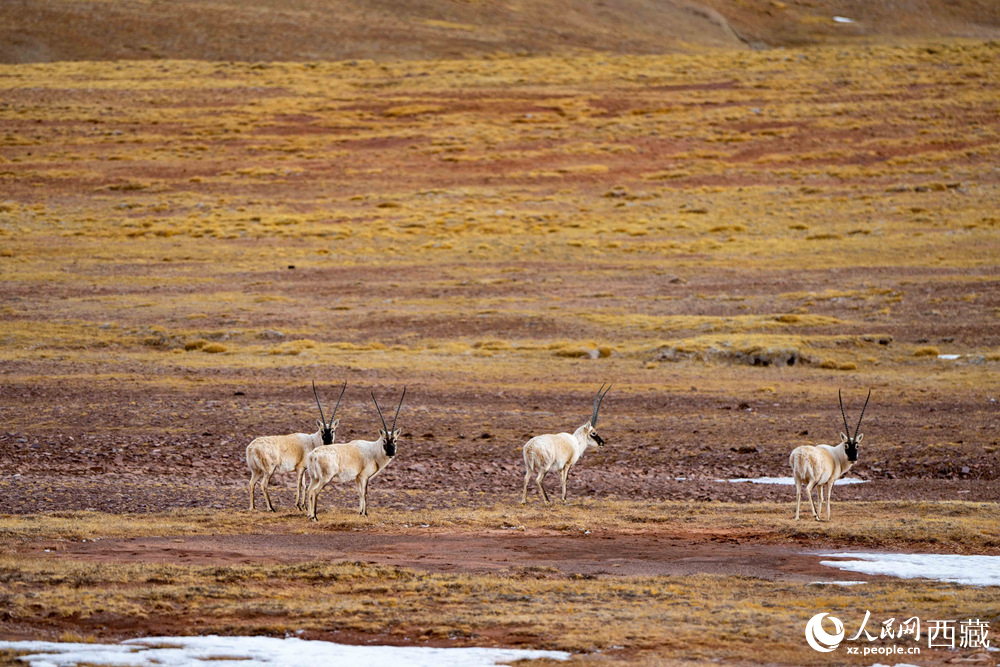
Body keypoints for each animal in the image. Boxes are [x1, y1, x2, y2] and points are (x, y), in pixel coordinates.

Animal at [246, 381, 346, 512]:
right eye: (322, 431)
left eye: (333, 430)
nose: (328, 443)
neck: (311, 441)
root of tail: (251, 448)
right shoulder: (299, 469)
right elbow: (299, 485)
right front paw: (298, 505)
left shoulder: (303, 469)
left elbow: (304, 485)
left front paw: (304, 506)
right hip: (269, 469)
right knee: (263, 485)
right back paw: (270, 508)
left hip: (256, 470)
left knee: (251, 483)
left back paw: (252, 507)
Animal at [305, 387, 405, 520]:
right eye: (384, 440)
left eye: (395, 440)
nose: (390, 453)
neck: (373, 450)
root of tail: (313, 455)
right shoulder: (364, 477)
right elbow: (365, 493)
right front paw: (365, 513)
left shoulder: (357, 478)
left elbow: (359, 493)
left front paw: (360, 512)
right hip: (325, 478)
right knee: (315, 492)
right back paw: (315, 517)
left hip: (314, 478)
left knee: (309, 490)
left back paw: (310, 515)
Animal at [790, 389, 871, 521]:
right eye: (846, 445)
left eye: (857, 445)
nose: (853, 458)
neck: (836, 455)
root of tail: (800, 454)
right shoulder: (830, 481)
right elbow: (827, 498)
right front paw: (827, 517)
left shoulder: (820, 484)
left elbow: (820, 498)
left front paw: (820, 515)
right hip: (813, 479)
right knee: (807, 490)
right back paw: (814, 515)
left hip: (797, 478)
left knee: (797, 494)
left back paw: (798, 517)